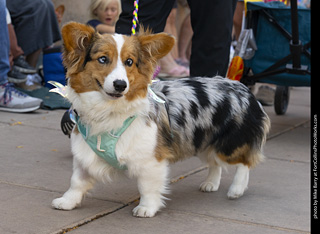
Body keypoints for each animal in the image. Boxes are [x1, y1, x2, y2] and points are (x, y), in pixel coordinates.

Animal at [52, 22, 270, 218]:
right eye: (103, 59)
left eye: (129, 62)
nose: (121, 85)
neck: (109, 110)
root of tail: (242, 87)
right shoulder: (84, 156)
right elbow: (77, 182)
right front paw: (67, 202)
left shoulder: (151, 161)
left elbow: (147, 187)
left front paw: (146, 208)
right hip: (203, 140)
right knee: (214, 162)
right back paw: (211, 184)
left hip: (229, 144)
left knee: (244, 162)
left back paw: (236, 189)